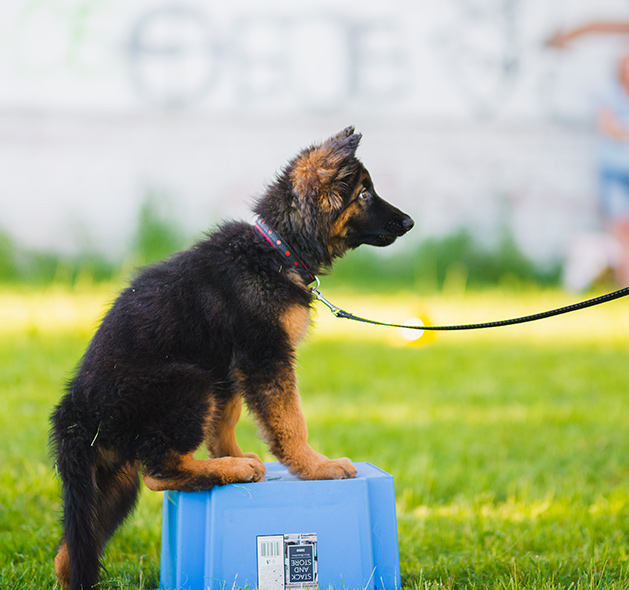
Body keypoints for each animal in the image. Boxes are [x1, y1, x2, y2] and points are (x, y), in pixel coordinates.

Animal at [51, 127, 414, 588]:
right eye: (365, 193)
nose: (409, 222)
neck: (278, 250)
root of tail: (76, 412)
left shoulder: (230, 369)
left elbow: (225, 420)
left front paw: (234, 454)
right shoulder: (264, 356)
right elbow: (290, 420)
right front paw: (314, 466)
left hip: (111, 482)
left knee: (71, 552)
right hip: (187, 382)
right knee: (160, 474)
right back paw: (232, 474)